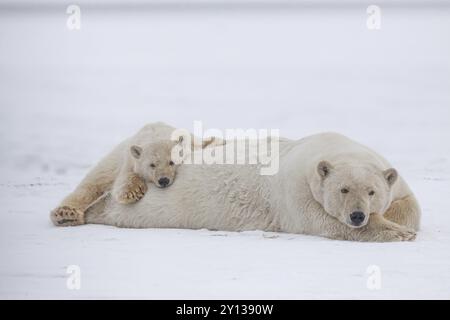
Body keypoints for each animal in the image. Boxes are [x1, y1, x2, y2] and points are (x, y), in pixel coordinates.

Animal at [53, 122, 422, 242]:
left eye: (372, 191)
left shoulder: (390, 175)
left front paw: (399, 223)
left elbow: (410, 204)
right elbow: (323, 222)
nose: (358, 215)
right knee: (100, 175)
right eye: (343, 190)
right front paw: (396, 232)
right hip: (131, 153)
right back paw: (68, 212)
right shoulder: (295, 191)